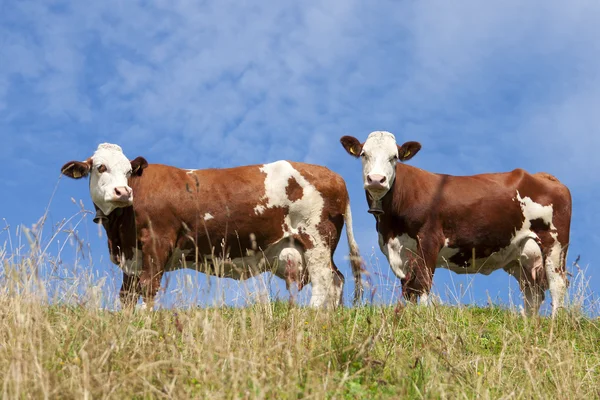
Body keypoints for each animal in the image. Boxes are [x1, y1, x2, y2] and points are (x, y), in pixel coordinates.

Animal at [61, 144, 364, 310]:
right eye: (100, 167)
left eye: (127, 171)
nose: (123, 192)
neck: (119, 232)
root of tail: (332, 174)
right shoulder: (131, 257)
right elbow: (125, 296)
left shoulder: (157, 243)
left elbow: (149, 288)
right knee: (336, 280)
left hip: (316, 239)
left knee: (325, 282)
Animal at [342, 131, 572, 316]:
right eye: (364, 154)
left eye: (394, 157)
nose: (376, 179)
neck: (392, 225)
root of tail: (544, 176)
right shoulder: (400, 250)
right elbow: (409, 288)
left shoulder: (429, 240)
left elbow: (423, 283)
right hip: (522, 256)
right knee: (533, 293)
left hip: (555, 245)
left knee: (557, 283)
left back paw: (555, 322)